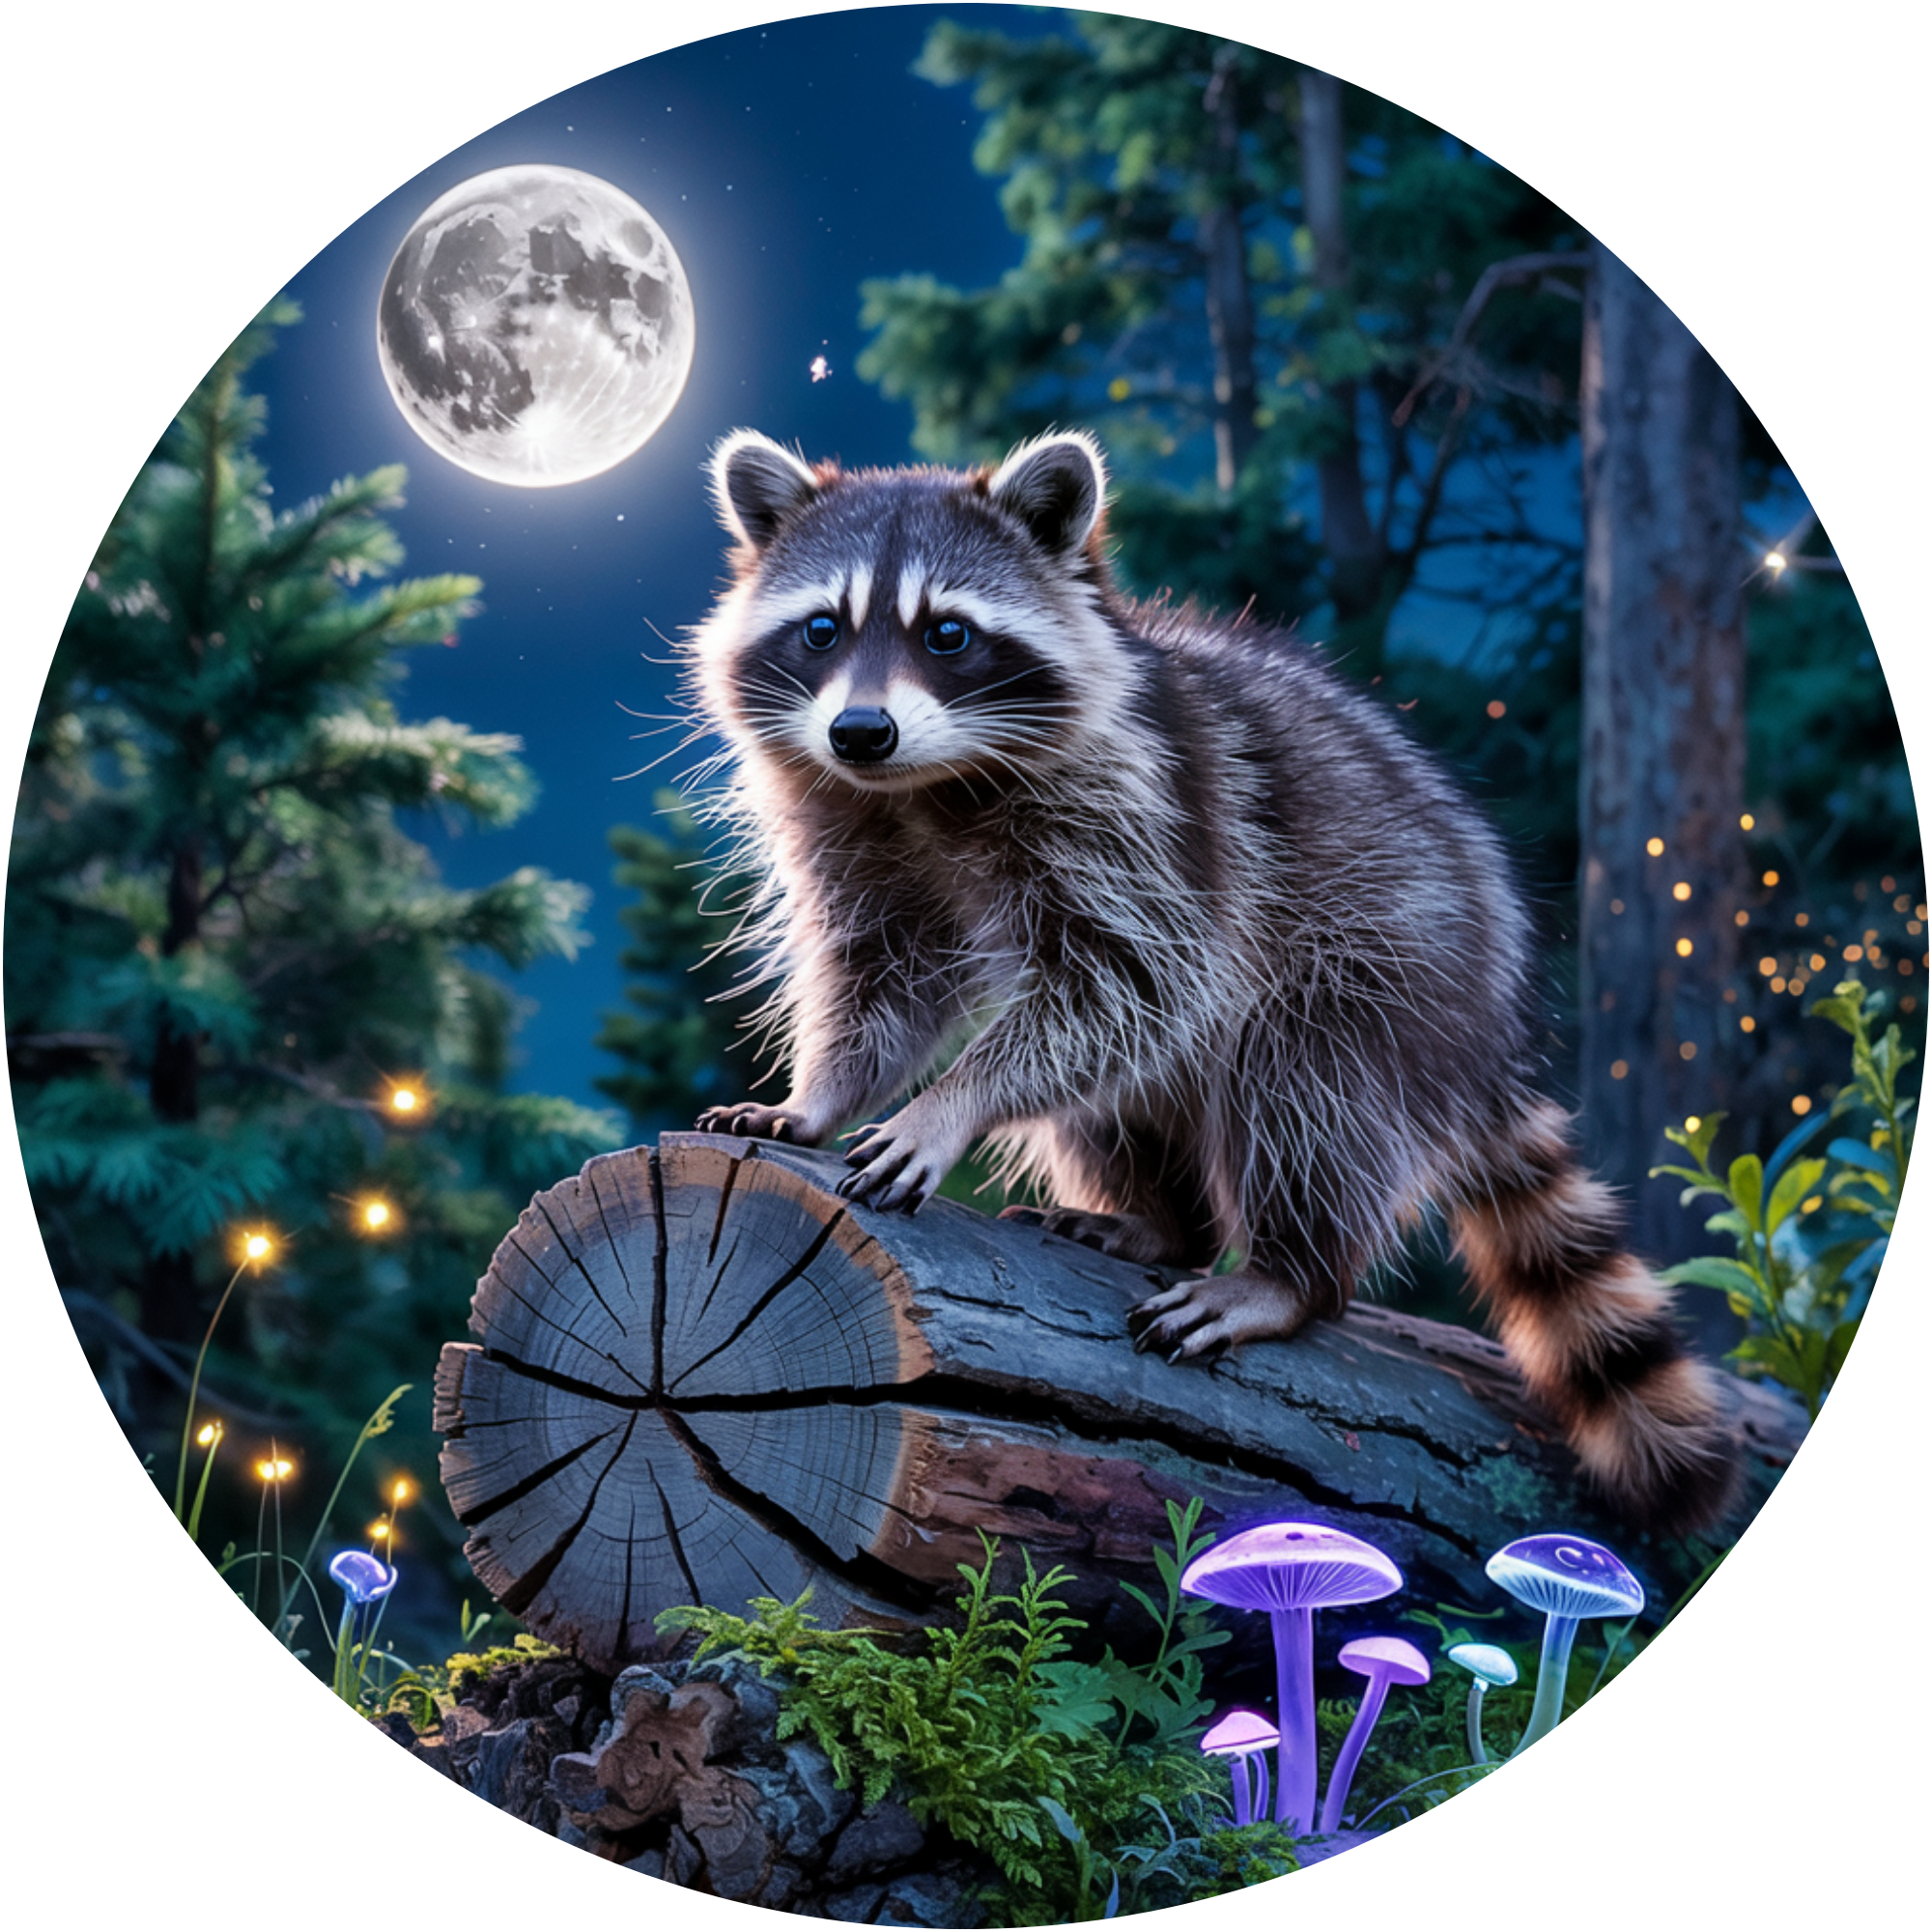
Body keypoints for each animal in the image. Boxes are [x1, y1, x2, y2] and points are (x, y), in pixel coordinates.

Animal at [681, 426, 1740, 1536]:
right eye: (820, 631)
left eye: (948, 634)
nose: (860, 731)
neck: (926, 786)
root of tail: (1490, 1031)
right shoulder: (853, 822)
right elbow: (881, 978)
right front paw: (820, 1093)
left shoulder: (1153, 818)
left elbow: (1139, 983)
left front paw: (949, 1103)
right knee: (1105, 1103)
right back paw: (1163, 1221)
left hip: (1394, 968)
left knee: (1302, 1087)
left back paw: (1287, 1274)